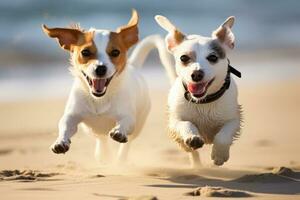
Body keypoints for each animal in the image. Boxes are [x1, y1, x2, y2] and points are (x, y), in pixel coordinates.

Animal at [41, 10, 155, 162]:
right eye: (85, 52)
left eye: (115, 52)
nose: (100, 68)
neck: (100, 99)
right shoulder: (72, 115)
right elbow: (65, 125)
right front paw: (61, 142)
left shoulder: (128, 117)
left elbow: (125, 123)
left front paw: (119, 131)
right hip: (92, 130)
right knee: (101, 139)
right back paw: (104, 155)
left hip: (139, 124)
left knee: (127, 143)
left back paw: (120, 159)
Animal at [151, 14, 243, 166]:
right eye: (184, 58)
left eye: (213, 57)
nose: (196, 74)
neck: (203, 101)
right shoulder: (175, 121)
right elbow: (186, 124)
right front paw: (193, 136)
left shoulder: (234, 119)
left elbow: (223, 135)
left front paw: (219, 155)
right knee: (192, 153)